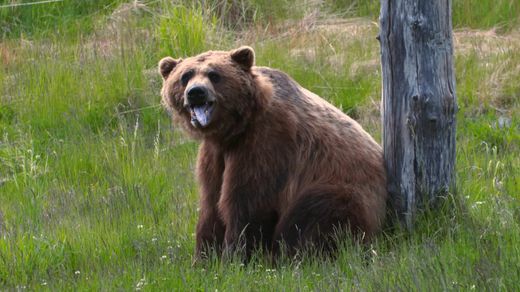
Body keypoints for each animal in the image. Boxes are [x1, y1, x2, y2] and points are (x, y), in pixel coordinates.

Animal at [158, 46, 386, 260]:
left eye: (214, 74)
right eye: (185, 76)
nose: (196, 92)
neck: (235, 128)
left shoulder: (266, 143)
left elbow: (247, 203)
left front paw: (234, 257)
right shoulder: (215, 155)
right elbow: (211, 203)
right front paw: (204, 257)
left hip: (345, 187)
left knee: (313, 215)